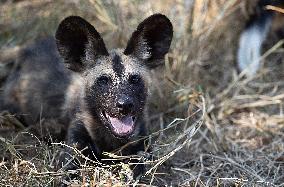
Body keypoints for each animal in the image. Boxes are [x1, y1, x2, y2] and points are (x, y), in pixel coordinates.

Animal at [0, 14, 173, 177]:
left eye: (135, 79)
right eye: (103, 80)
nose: (125, 105)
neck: (110, 141)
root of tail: (25, 50)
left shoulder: (140, 146)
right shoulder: (74, 146)